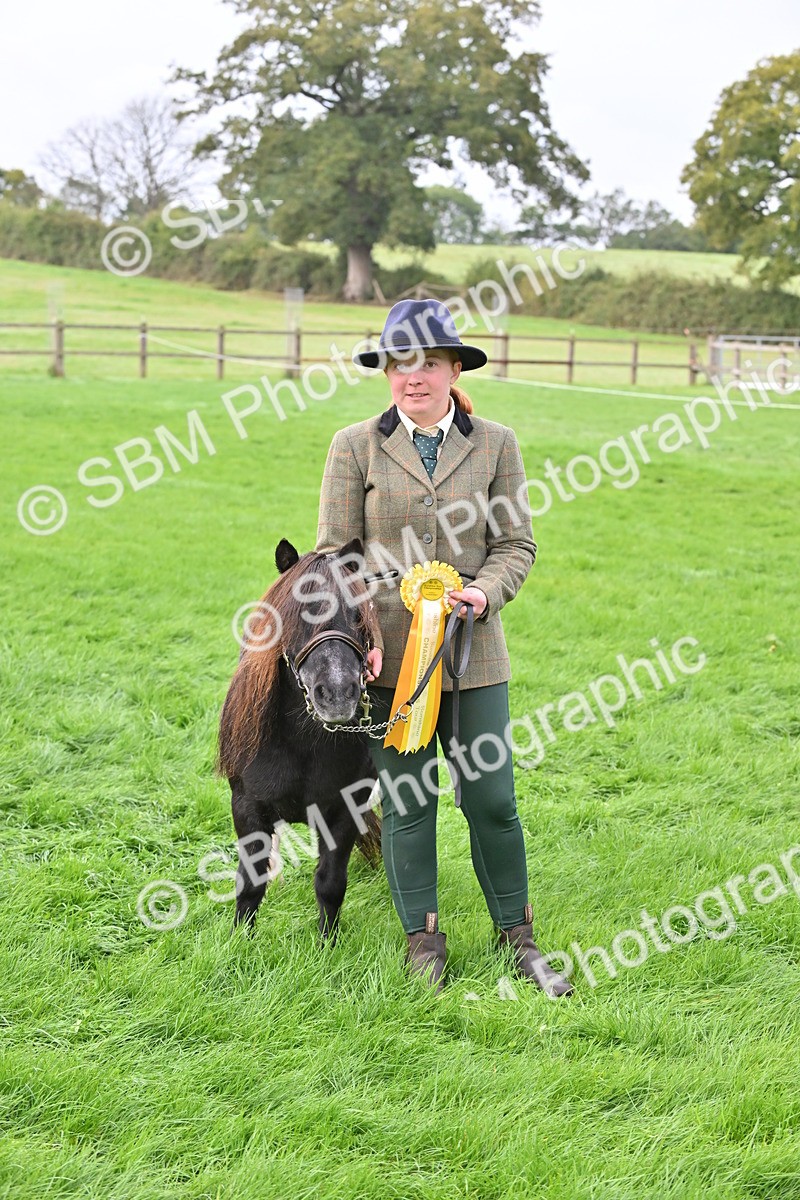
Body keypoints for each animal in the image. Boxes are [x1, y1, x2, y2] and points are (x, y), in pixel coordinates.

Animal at [216, 536, 384, 941]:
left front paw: (327, 944)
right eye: (298, 615)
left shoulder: (344, 810)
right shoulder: (246, 807)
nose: (337, 694)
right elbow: (250, 882)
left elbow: (330, 882)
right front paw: (240, 943)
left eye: (358, 616)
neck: (301, 745)